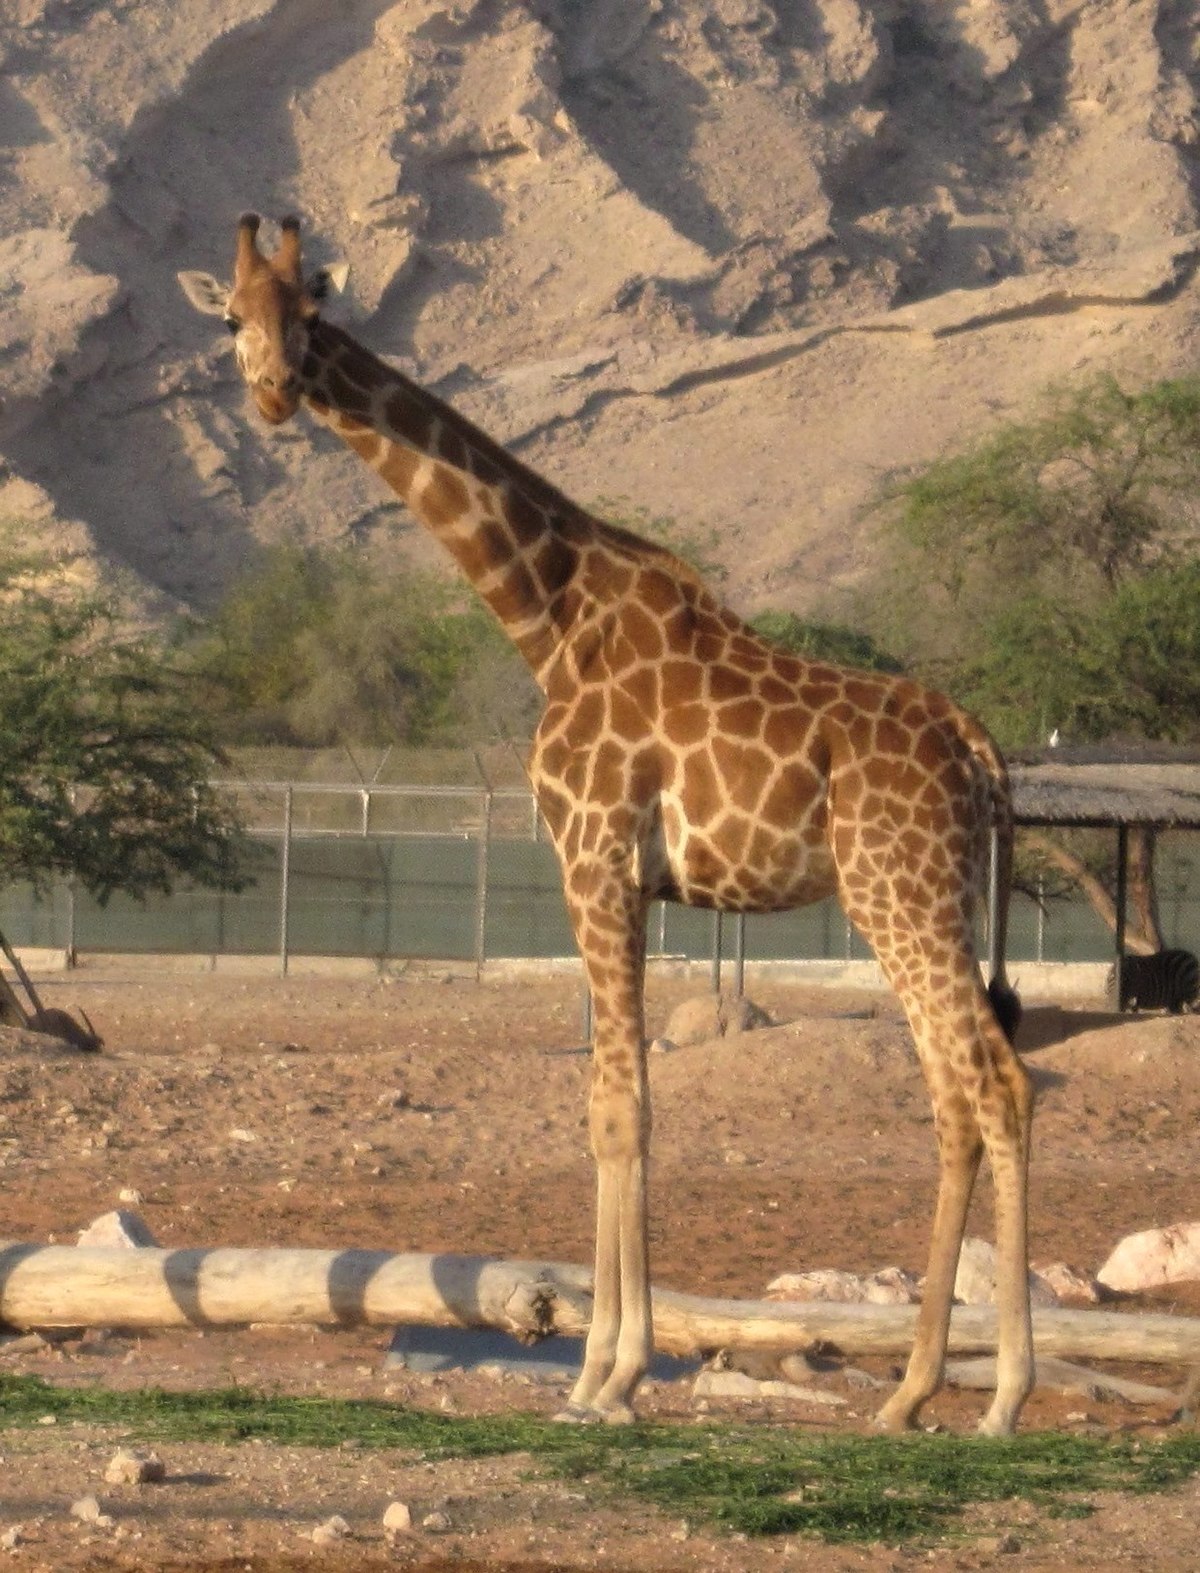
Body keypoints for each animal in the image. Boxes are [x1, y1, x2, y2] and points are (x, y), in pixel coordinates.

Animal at [183, 218, 1038, 1440]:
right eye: (229, 316)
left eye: (309, 310)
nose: (271, 391)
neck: (546, 617)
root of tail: (974, 743)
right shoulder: (622, 882)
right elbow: (615, 1105)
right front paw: (602, 1370)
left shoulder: (592, 864)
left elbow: (617, 1112)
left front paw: (610, 1376)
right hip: (926, 897)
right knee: (957, 1097)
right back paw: (911, 1391)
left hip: (899, 893)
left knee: (994, 1087)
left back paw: (1004, 1394)